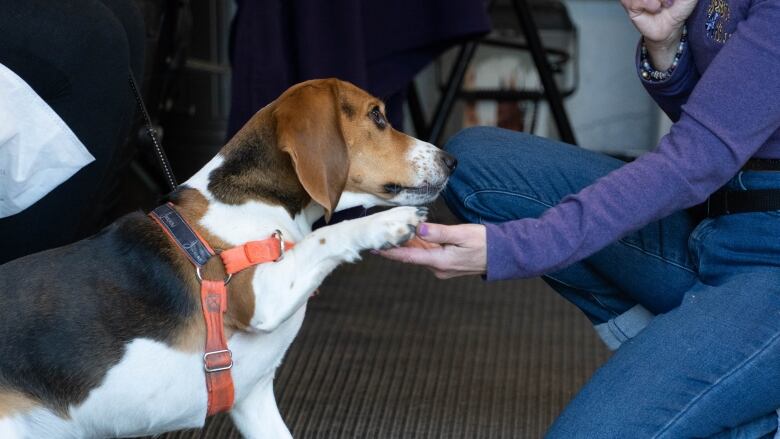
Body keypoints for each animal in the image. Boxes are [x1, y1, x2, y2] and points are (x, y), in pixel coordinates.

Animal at [0, 80, 458, 439]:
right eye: (377, 116)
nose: (451, 160)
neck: (257, 197)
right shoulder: (258, 298)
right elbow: (325, 236)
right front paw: (386, 223)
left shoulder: (254, 400)